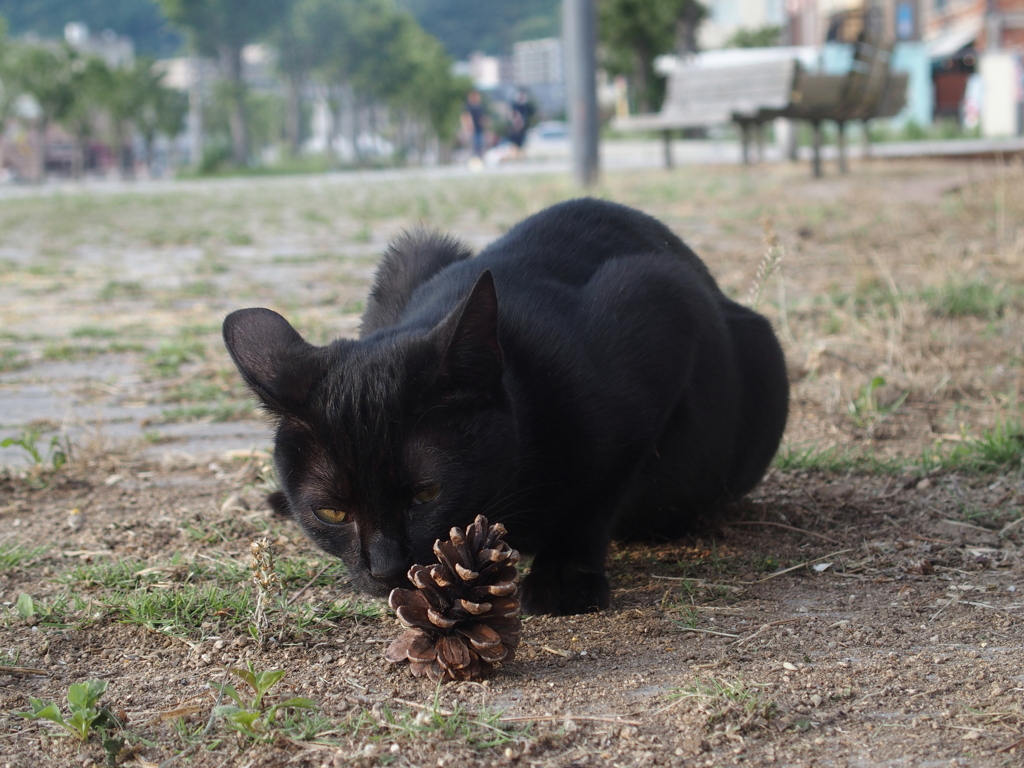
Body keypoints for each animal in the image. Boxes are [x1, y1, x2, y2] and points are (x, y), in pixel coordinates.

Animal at [220, 199, 786, 618]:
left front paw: (564, 578)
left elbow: (598, 494)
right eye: (332, 512)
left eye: (427, 493)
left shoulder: (660, 299)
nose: (384, 568)